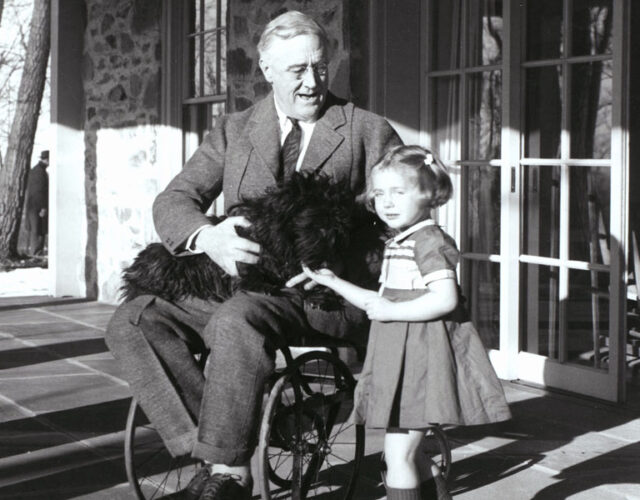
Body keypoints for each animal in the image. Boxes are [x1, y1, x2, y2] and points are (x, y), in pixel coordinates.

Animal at [120, 174, 384, 310]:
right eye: (317, 222)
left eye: (341, 223)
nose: (330, 256)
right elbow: (250, 275)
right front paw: (264, 285)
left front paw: (321, 294)